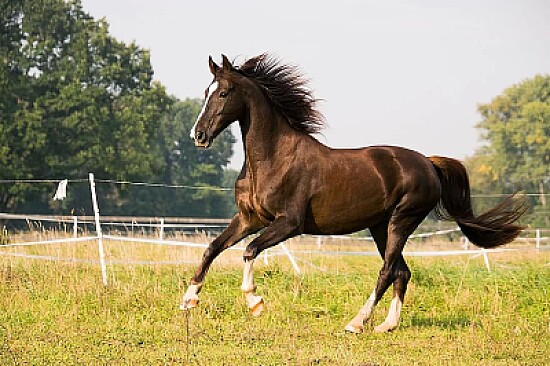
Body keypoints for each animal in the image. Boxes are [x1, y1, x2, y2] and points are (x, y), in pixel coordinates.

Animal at [179, 55, 528, 334]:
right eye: (206, 92)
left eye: (223, 93)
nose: (199, 135)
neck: (273, 159)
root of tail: (428, 163)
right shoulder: (249, 218)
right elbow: (212, 248)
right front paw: (188, 300)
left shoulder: (288, 223)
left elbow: (250, 251)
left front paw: (254, 301)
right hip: (380, 226)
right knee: (402, 271)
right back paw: (387, 325)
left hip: (402, 220)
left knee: (388, 270)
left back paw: (356, 323)